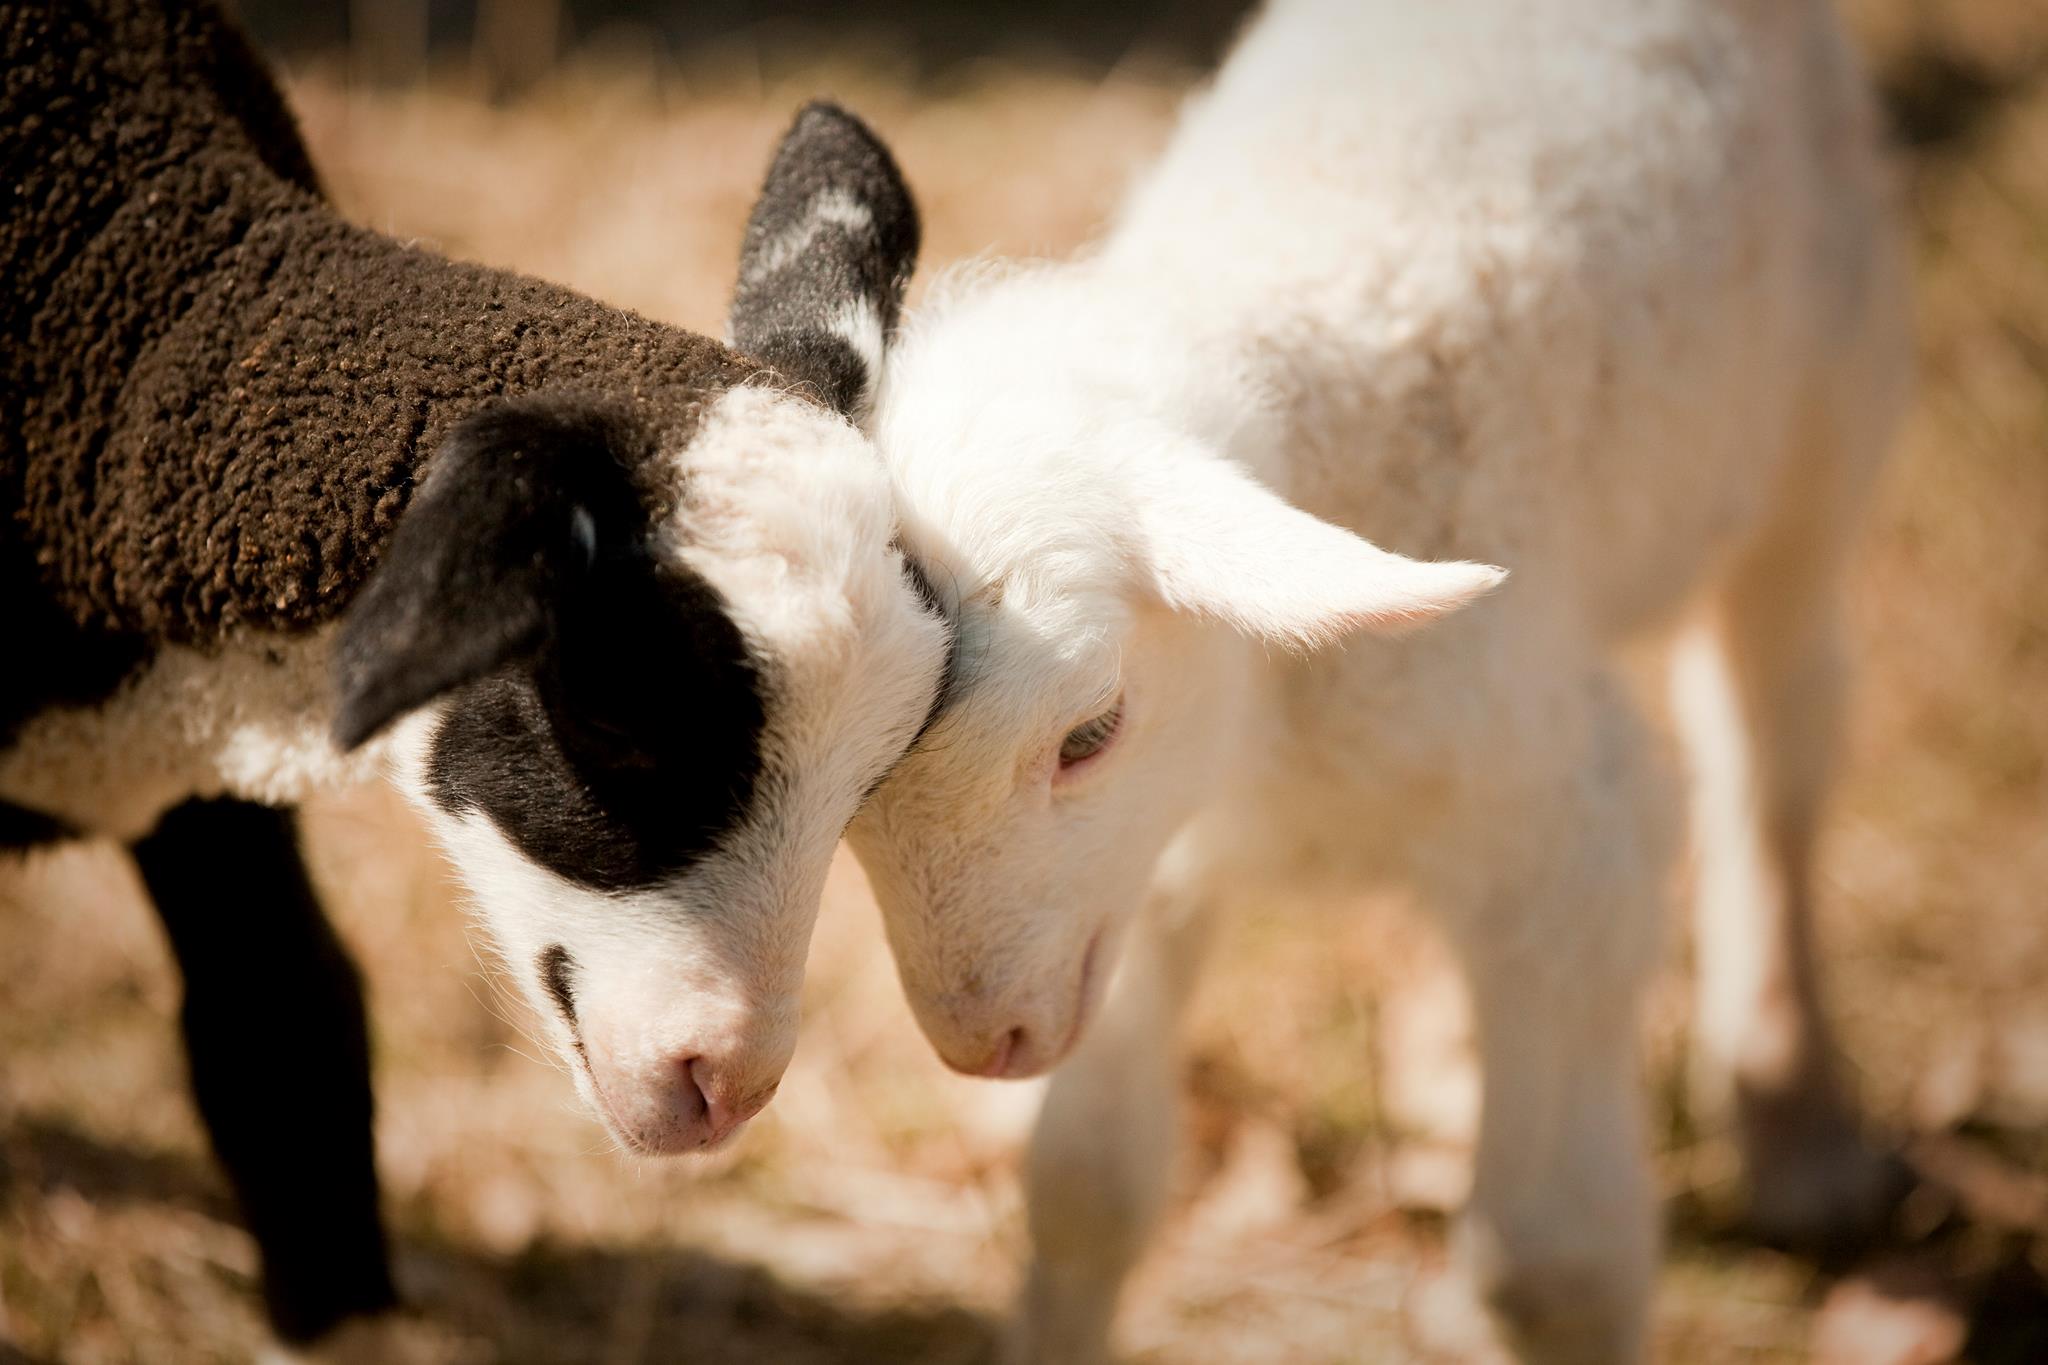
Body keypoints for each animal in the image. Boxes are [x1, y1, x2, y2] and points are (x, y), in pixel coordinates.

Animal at [827, 0, 1914, 1360]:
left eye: (1090, 733)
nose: (984, 1041)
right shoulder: (1136, 877)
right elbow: (1085, 1191)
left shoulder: (1572, 830)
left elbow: (1554, 1263)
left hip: (1824, 394)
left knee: (1774, 732)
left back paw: (1796, 1123)